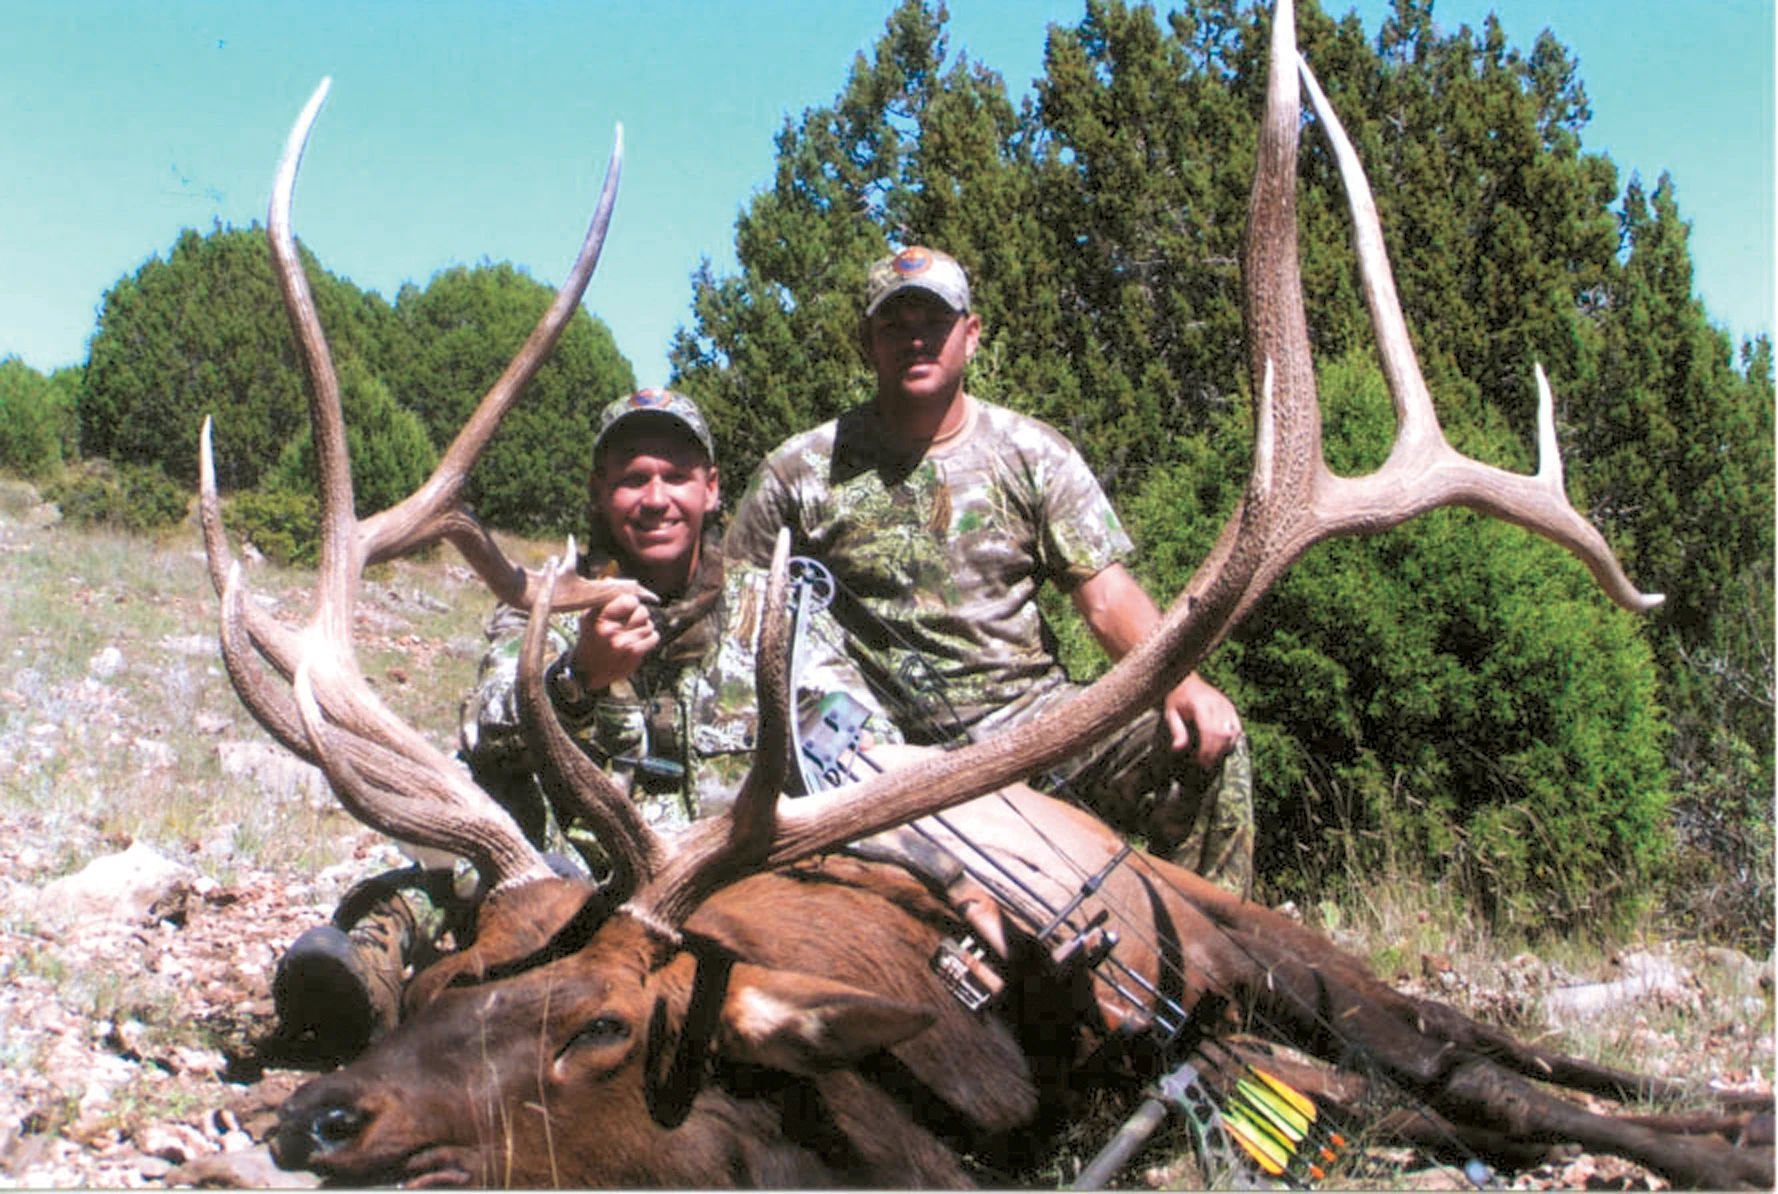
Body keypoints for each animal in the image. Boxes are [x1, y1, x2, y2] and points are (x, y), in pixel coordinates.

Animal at [201, 4, 1770, 1186]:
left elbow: (1481, 1084)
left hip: (1257, 928)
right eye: (445, 975)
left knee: (1483, 1052)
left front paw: (1717, 1140)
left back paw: (1722, 1116)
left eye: (595, 1026)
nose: (320, 1115)